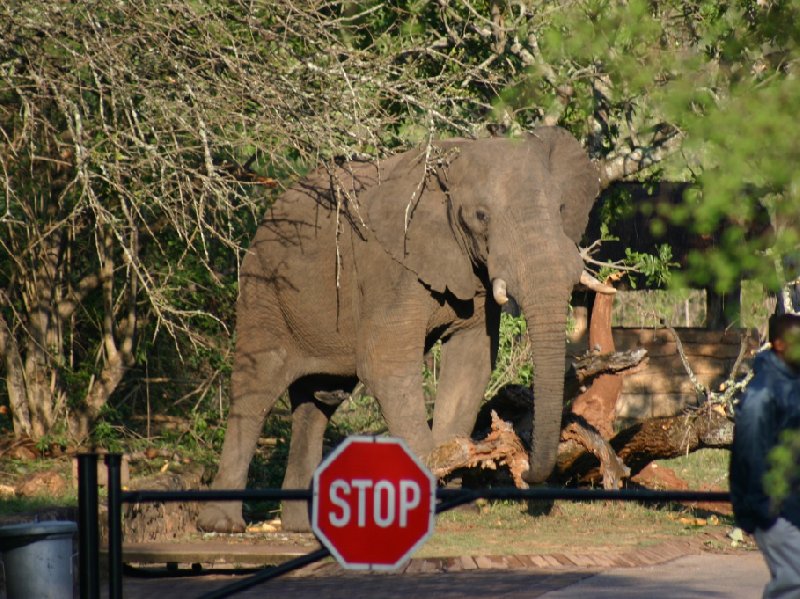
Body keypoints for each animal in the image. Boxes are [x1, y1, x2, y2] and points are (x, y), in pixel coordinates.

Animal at [198, 126, 612, 536]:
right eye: (481, 216)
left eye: (561, 210)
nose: (524, 471)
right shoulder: (392, 267)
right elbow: (387, 364)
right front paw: (429, 497)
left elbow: (471, 363)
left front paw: (454, 499)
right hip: (263, 290)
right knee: (256, 391)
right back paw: (222, 525)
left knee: (316, 402)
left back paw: (303, 527)